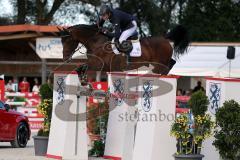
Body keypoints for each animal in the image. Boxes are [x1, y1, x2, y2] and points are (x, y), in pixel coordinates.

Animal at [58, 24, 189, 74]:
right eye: (61, 41)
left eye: (68, 41)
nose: (65, 58)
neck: (96, 42)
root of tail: (165, 38)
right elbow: (81, 67)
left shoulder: (97, 65)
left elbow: (83, 67)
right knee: (172, 62)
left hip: (160, 60)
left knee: (166, 66)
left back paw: (155, 73)